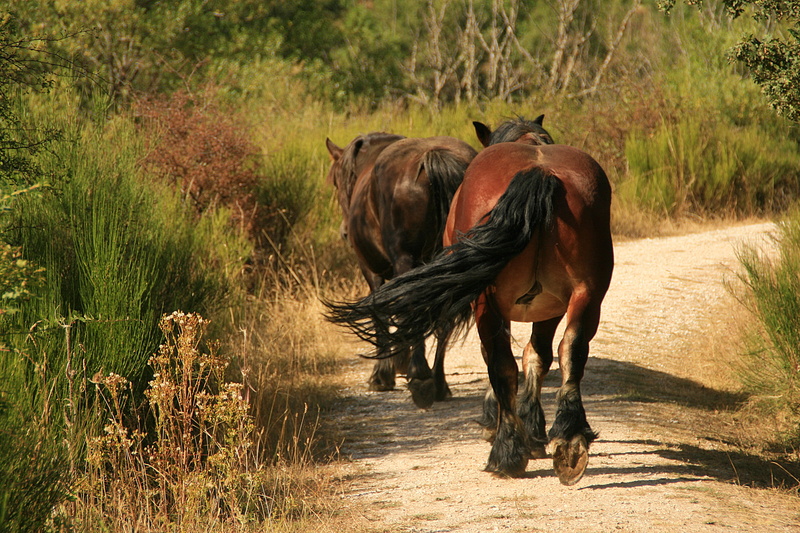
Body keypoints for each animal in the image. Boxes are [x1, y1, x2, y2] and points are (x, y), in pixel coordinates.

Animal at [325, 132, 477, 408]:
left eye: (335, 181)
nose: (344, 232)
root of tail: (433, 157)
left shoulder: (372, 272)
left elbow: (381, 315)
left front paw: (383, 374)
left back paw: (421, 379)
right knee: (444, 318)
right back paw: (439, 383)